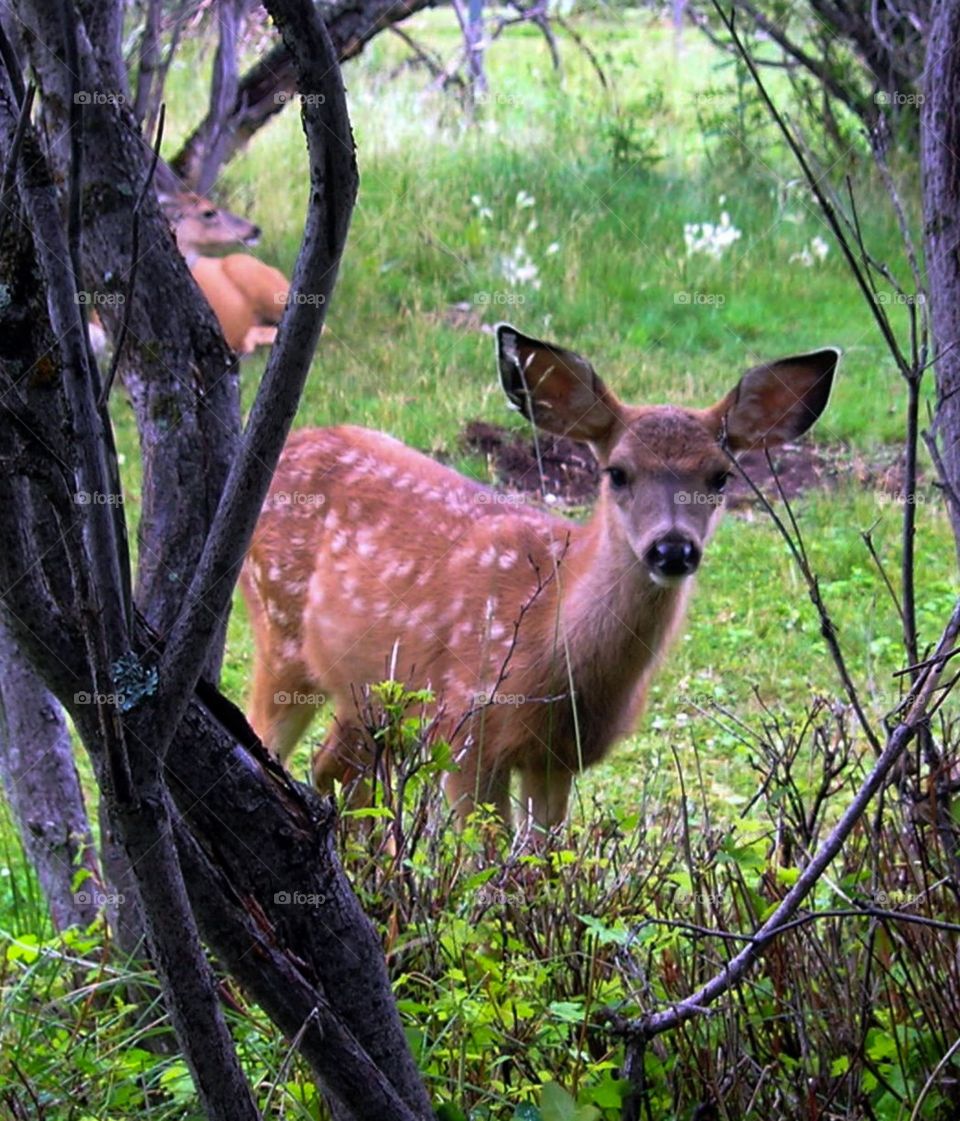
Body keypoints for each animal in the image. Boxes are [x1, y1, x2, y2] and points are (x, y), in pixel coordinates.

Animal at [240, 325, 839, 834]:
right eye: (617, 472)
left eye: (720, 476)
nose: (673, 549)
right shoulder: (465, 726)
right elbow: (482, 859)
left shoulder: (557, 757)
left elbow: (539, 865)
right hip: (280, 628)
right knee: (274, 746)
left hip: (366, 689)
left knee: (337, 770)